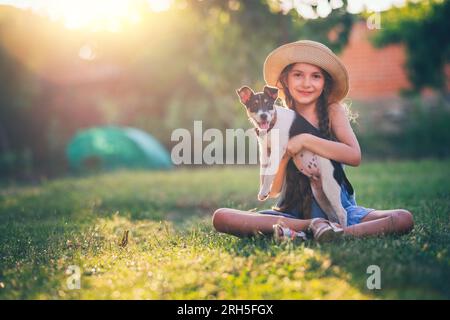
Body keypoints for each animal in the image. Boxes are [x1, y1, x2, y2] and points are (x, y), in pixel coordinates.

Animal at [237, 84, 354, 226]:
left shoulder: (277, 151)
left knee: (342, 212)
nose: (264, 116)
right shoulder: (264, 152)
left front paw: (264, 192)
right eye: (254, 105)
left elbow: (269, 173)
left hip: (330, 186)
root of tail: (337, 165)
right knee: (332, 214)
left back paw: (343, 229)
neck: (273, 124)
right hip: (319, 192)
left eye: (269, 104)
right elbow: (263, 173)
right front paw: (262, 191)